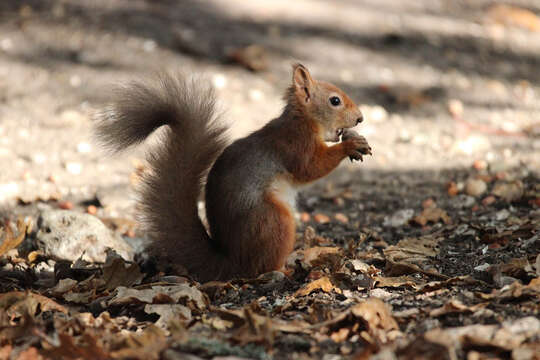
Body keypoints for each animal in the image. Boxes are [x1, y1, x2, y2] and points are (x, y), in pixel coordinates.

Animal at [95, 65, 372, 284]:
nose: (360, 118)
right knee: (261, 269)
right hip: (273, 220)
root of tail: (232, 261)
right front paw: (350, 145)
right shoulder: (294, 145)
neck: (303, 120)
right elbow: (311, 168)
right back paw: (286, 271)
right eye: (334, 101)